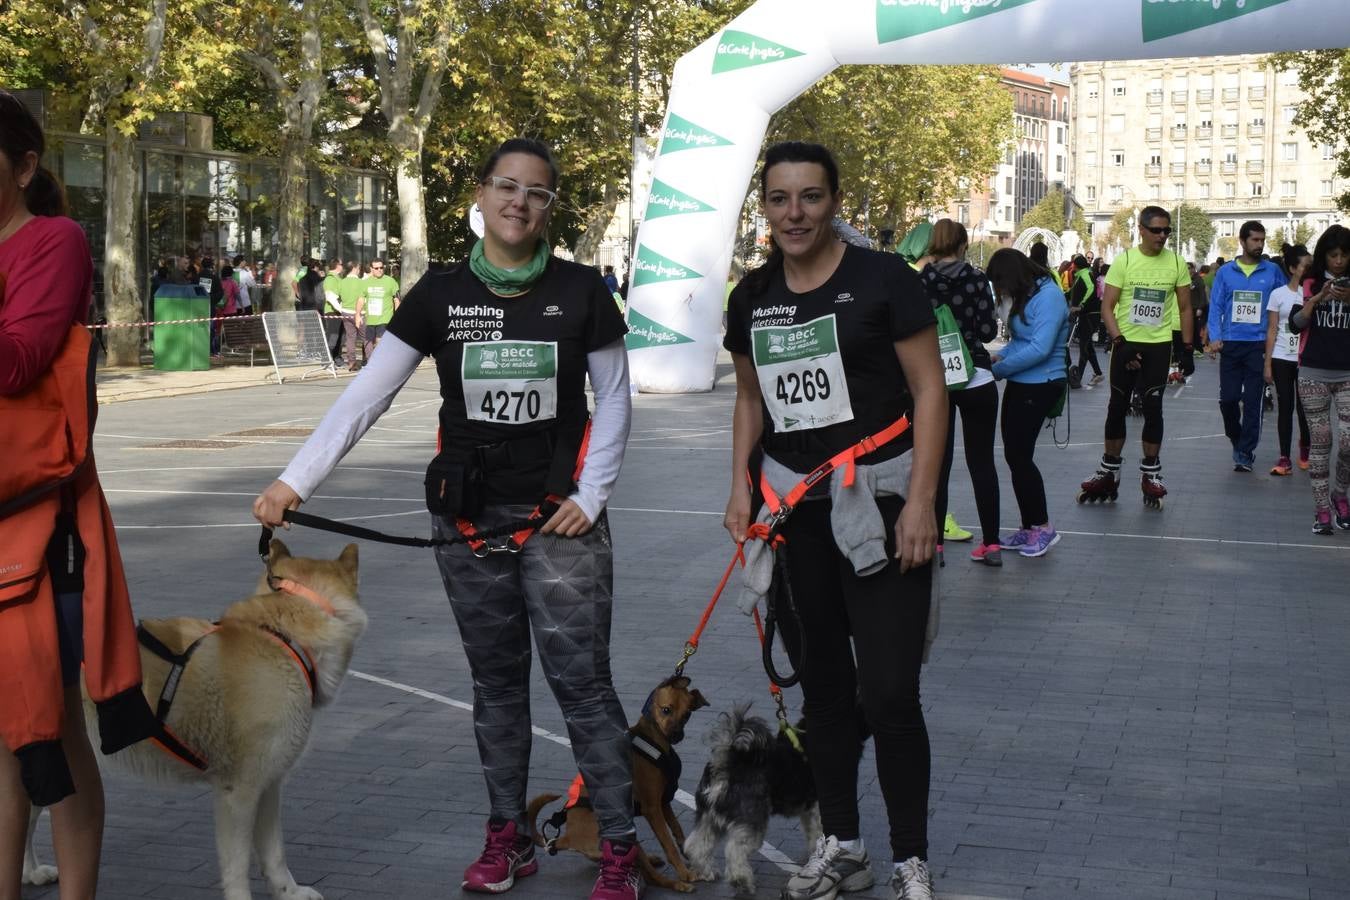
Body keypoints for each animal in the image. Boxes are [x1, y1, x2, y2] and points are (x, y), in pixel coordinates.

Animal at [27, 542, 364, 900]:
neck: (284, 639)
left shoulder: (269, 784)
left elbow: (274, 853)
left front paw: (289, 891)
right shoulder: (238, 793)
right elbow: (237, 865)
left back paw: (32, 872)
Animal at [526, 674, 712, 895]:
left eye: (687, 715)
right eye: (666, 709)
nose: (677, 735)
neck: (653, 739)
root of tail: (567, 837)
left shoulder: (664, 802)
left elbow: (677, 831)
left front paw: (690, 856)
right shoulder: (652, 809)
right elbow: (668, 844)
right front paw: (685, 873)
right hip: (622, 833)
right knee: (651, 878)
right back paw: (677, 884)